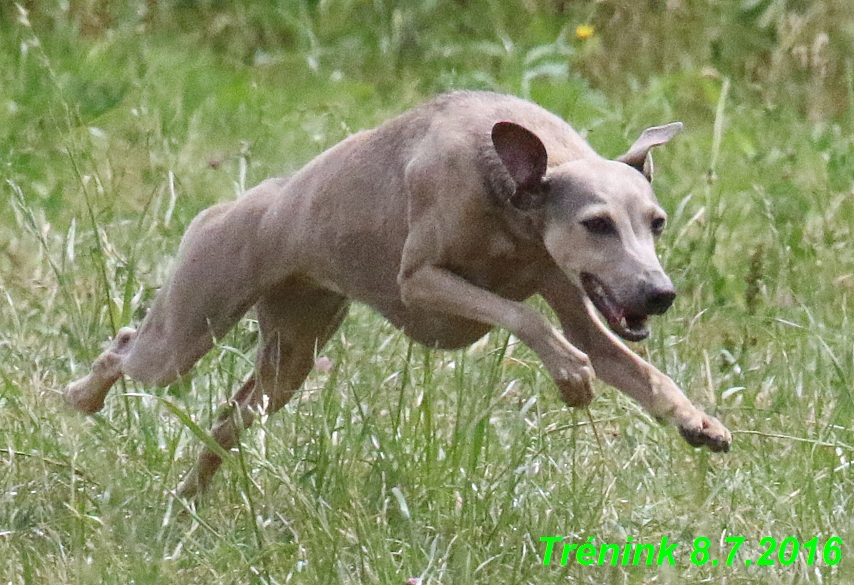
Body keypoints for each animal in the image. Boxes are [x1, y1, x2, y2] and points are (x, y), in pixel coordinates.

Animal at [68, 90, 736, 492]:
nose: (660, 294)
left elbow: (640, 371)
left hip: (289, 360)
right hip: (185, 333)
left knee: (226, 425)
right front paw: (571, 377)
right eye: (597, 224)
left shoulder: (577, 303)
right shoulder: (420, 283)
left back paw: (188, 496)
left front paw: (696, 421)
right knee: (125, 345)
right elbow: (524, 318)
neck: (514, 201)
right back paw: (82, 396)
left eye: (656, 222)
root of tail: (245, 203)